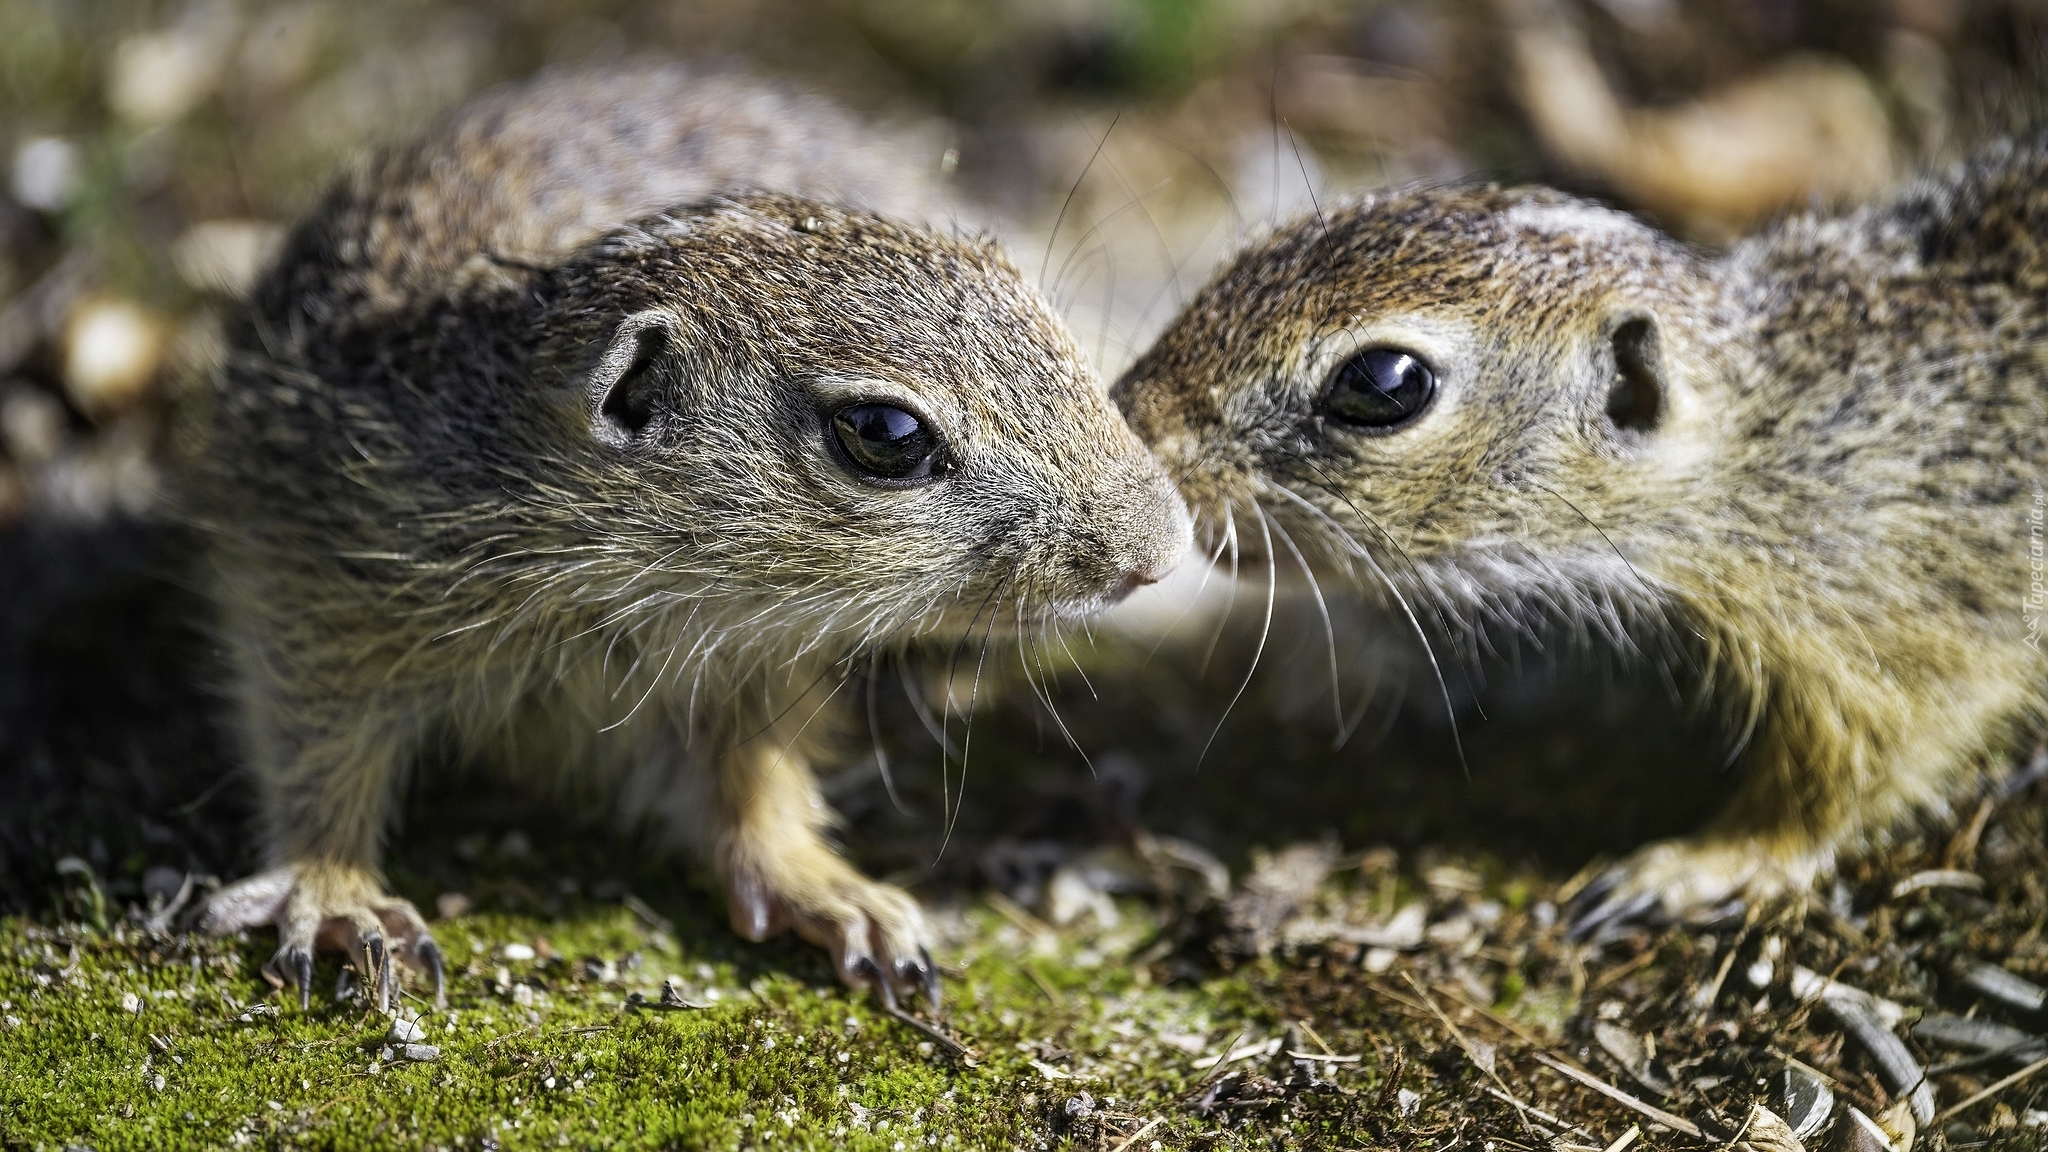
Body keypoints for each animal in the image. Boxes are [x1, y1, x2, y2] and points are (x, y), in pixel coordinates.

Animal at [188, 65, 1196, 1004]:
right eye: (885, 434)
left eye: (1049, 321)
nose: (1161, 549)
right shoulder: (314, 587)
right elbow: (316, 752)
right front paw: (334, 894)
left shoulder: (749, 667)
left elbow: (753, 787)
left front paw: (828, 890)